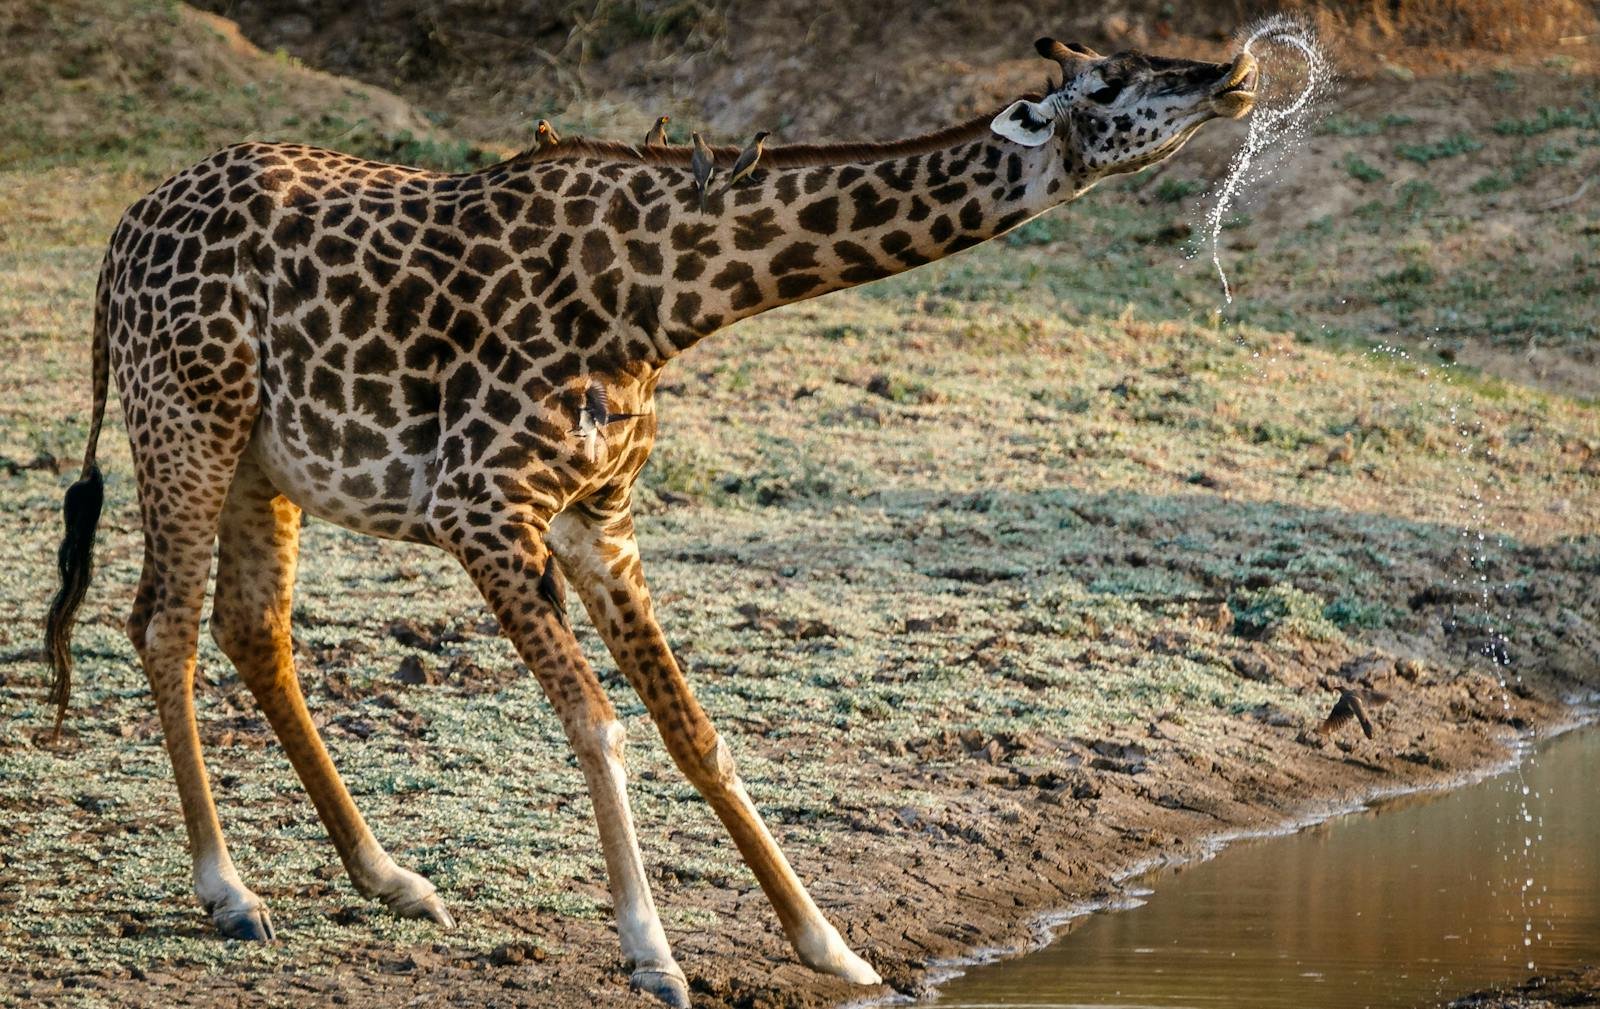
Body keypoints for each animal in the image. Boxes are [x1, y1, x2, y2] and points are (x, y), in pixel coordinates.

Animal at [43, 38, 1257, 1005]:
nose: (1234, 73)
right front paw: (654, 956)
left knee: (252, 628)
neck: (663, 297)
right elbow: (599, 721)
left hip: (265, 457)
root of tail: (117, 244)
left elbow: (694, 728)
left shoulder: (598, 514)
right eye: (1112, 82)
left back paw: (393, 879)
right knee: (163, 623)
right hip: (187, 418)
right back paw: (229, 893)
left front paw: (833, 946)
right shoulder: (480, 504)